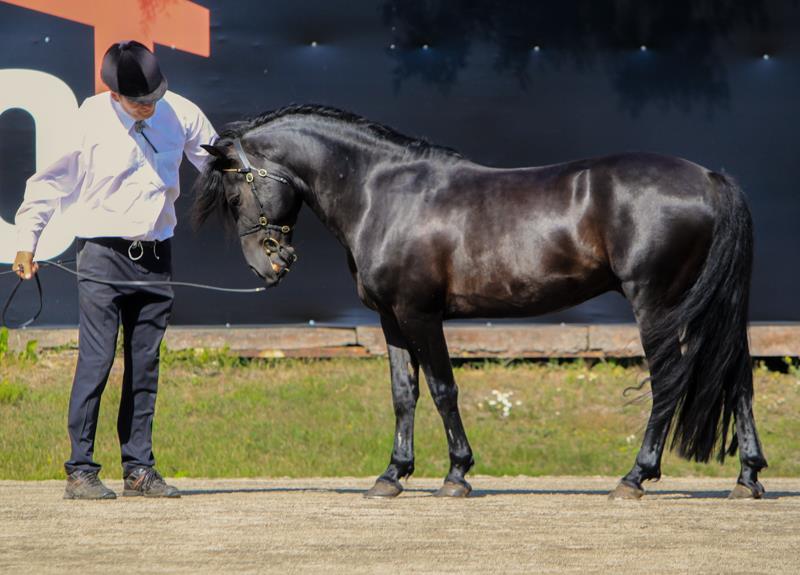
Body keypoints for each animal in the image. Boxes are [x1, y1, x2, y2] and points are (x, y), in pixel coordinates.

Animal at [192, 106, 764, 502]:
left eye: (236, 192)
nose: (267, 266)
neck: (384, 193)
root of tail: (710, 179)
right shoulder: (390, 319)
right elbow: (404, 393)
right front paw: (392, 474)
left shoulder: (421, 315)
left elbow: (443, 390)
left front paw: (457, 474)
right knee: (737, 376)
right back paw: (748, 477)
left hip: (659, 306)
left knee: (669, 383)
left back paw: (635, 477)